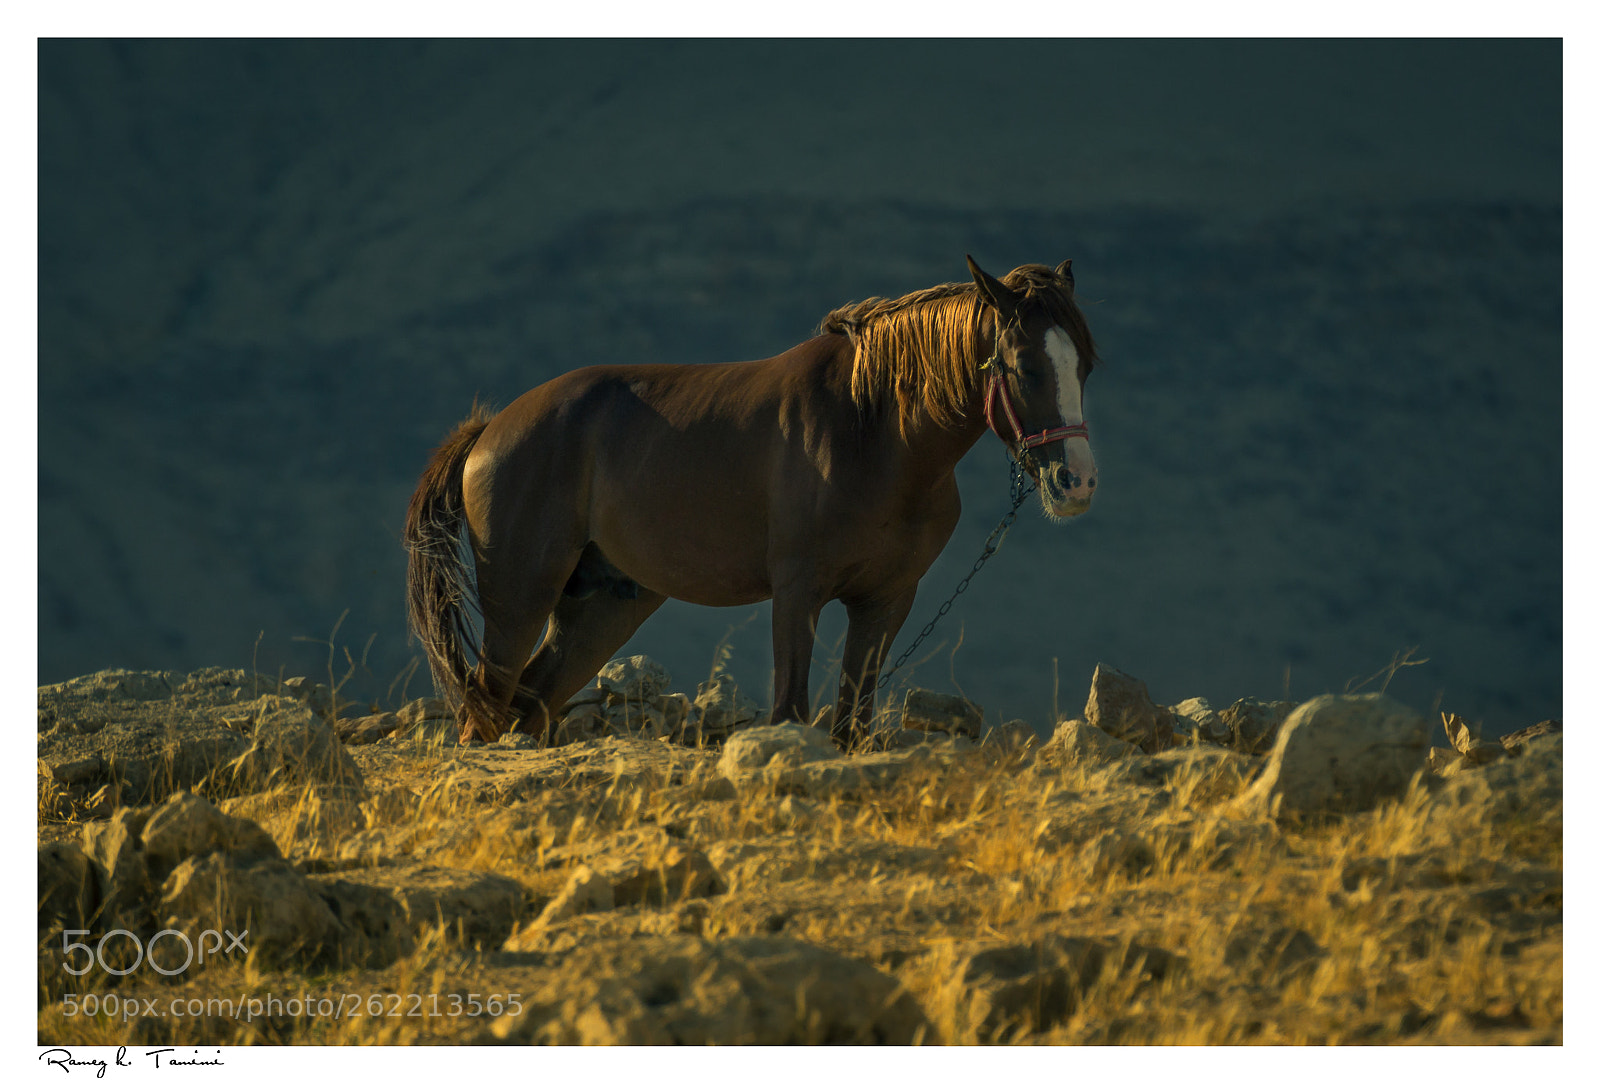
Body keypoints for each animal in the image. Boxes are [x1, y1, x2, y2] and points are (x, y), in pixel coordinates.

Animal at [404, 256, 1099, 748]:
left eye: (1085, 365)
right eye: (1024, 366)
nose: (1077, 482)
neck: (872, 431)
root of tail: (489, 432)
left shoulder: (885, 602)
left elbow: (852, 723)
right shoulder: (798, 593)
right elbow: (791, 709)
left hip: (601, 609)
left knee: (531, 706)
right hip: (520, 602)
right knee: (485, 715)